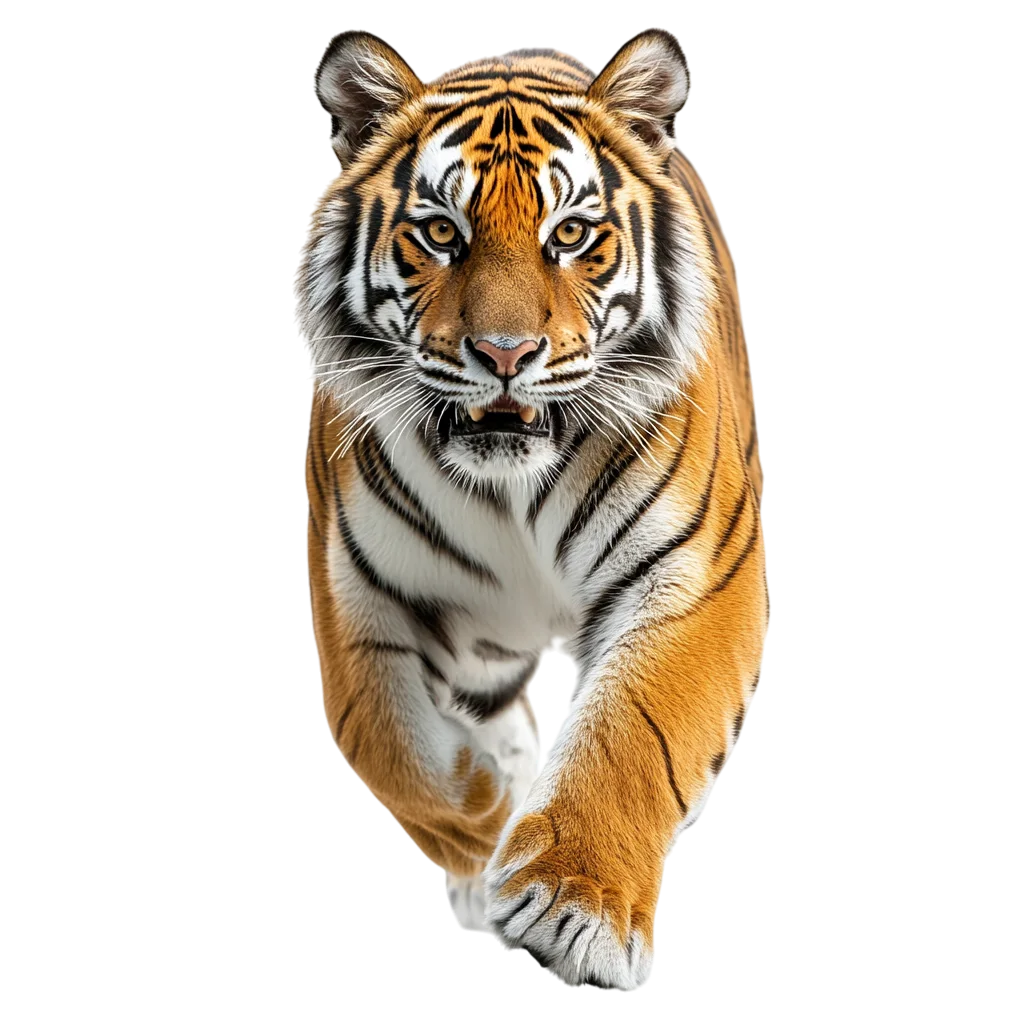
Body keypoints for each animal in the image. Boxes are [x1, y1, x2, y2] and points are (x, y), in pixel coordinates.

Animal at [300, 28, 767, 992]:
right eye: (442, 233)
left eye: (572, 235)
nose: (506, 354)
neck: (510, 485)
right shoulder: (356, 599)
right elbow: (389, 745)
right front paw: (488, 815)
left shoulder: (698, 576)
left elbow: (637, 732)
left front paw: (570, 907)